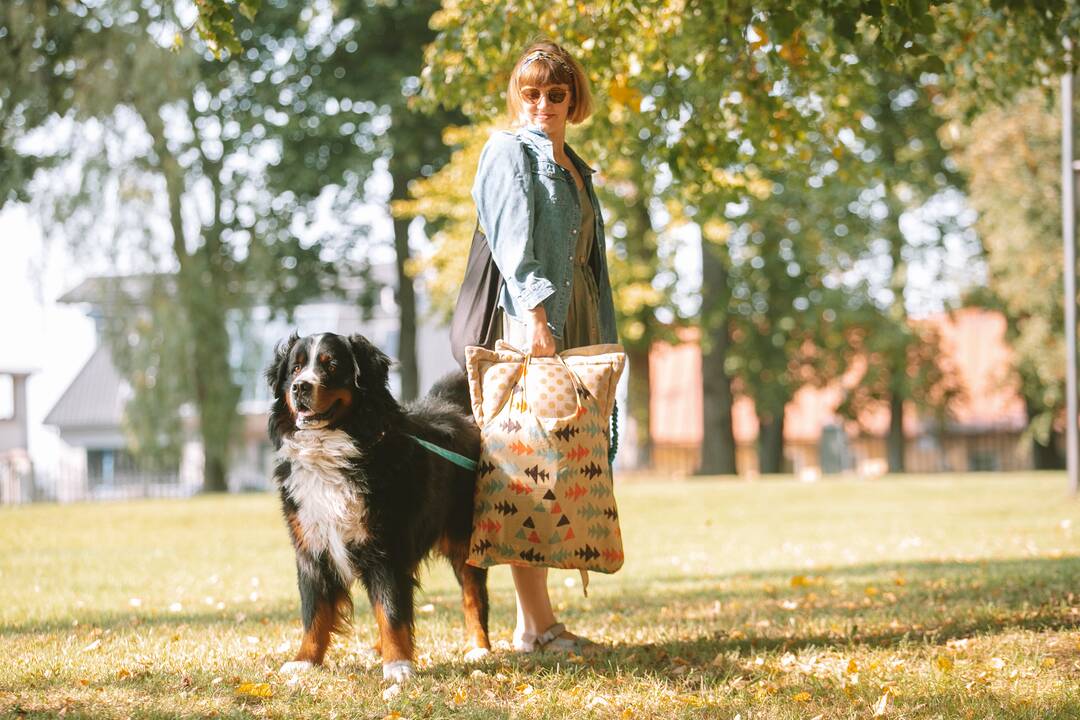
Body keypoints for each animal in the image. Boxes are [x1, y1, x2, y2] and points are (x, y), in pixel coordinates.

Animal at [265, 332, 490, 682]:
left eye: (331, 365)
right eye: (296, 368)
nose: (300, 387)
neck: (334, 451)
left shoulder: (386, 547)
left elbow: (392, 610)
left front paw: (398, 665)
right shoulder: (312, 549)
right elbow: (314, 611)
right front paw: (304, 661)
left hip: (464, 538)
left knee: (473, 595)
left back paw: (478, 647)